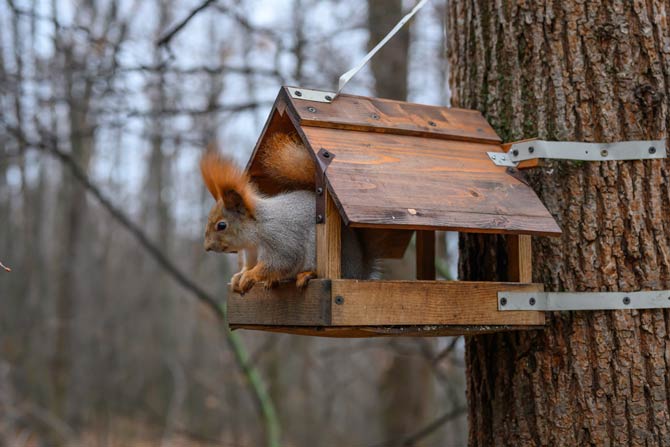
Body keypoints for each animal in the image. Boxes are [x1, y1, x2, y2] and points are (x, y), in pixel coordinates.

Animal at [200, 133, 378, 294]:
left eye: (221, 225)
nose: (207, 247)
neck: (255, 232)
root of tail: (359, 271)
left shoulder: (279, 239)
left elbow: (280, 262)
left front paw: (249, 276)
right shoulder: (250, 254)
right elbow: (251, 266)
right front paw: (238, 277)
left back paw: (305, 274)